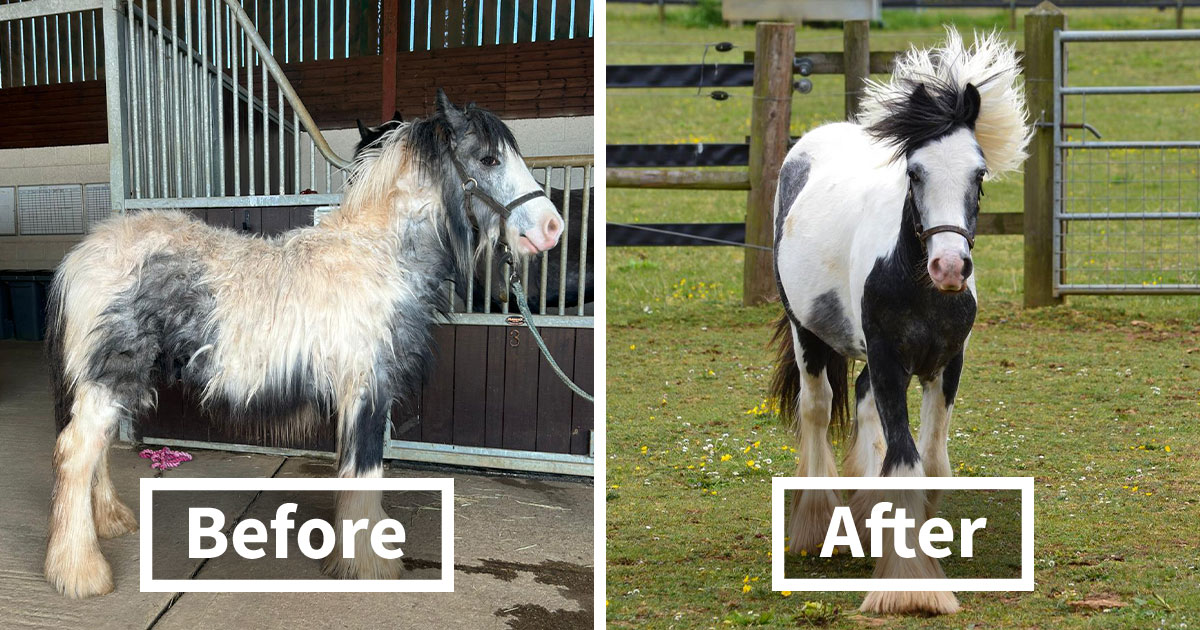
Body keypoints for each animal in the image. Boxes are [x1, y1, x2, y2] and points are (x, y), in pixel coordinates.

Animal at [43, 89, 564, 598]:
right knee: (76, 450)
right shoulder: (367, 386)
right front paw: (370, 564)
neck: (376, 256)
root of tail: (81, 256)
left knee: (98, 449)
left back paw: (110, 522)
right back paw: (80, 572)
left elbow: (351, 465)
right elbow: (366, 467)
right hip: (113, 375)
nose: (552, 228)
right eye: (490, 158)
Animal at [769, 30, 1029, 615]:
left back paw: (866, 517)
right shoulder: (891, 360)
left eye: (979, 174)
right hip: (807, 333)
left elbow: (931, 461)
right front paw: (912, 587)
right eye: (915, 172)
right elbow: (906, 459)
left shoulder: (945, 365)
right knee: (817, 410)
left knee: (862, 403)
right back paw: (818, 523)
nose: (949, 267)